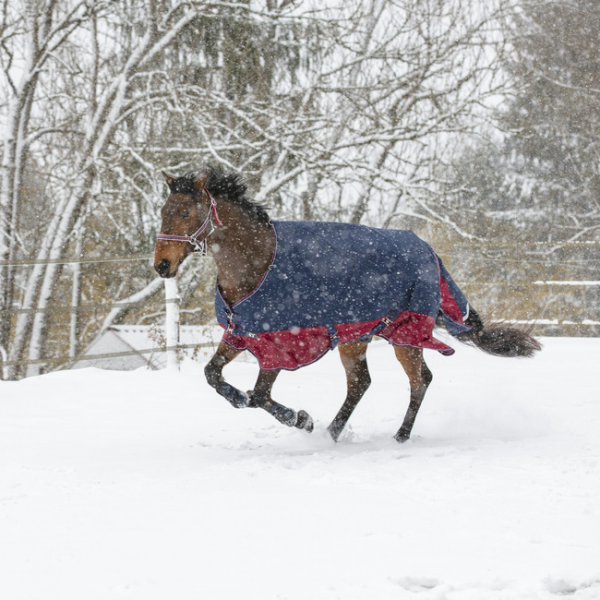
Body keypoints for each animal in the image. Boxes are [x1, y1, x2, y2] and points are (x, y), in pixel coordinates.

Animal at [152, 166, 540, 442]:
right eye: (163, 211)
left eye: (185, 213)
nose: (162, 265)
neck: (257, 261)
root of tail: (429, 251)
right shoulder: (240, 332)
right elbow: (213, 375)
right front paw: (240, 399)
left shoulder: (282, 343)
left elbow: (260, 395)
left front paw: (302, 419)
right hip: (357, 336)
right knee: (361, 383)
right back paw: (333, 433)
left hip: (405, 333)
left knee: (420, 379)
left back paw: (398, 436)